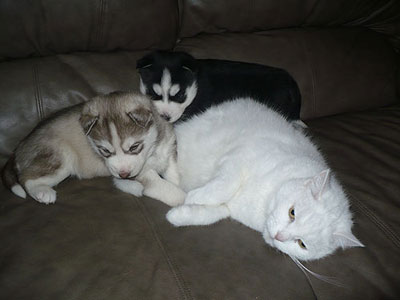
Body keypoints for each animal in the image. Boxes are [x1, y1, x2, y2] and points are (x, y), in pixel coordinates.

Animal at [167, 98, 364, 260]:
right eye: (292, 213)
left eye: (302, 244)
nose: (279, 237)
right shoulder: (237, 158)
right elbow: (225, 185)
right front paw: (193, 197)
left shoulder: (228, 206)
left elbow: (212, 214)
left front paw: (179, 214)